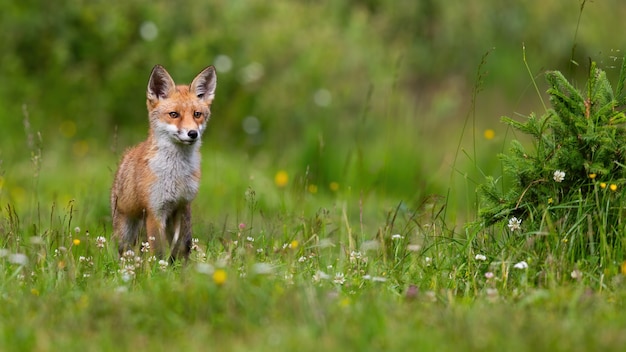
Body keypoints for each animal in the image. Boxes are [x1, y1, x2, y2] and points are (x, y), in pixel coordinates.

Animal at [108, 64, 214, 260]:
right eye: (174, 114)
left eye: (197, 114)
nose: (193, 133)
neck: (176, 174)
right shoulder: (155, 210)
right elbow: (157, 251)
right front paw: (158, 268)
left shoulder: (183, 206)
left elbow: (184, 246)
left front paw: (182, 267)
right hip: (126, 231)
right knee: (126, 252)